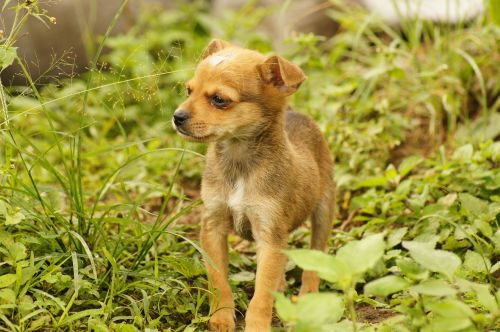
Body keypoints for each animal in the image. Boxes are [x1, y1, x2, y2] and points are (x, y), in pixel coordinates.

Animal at [173, 39, 336, 332]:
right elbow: (219, 282)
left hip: (324, 209)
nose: (177, 116)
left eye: (219, 100)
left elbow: (261, 295)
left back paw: (308, 296)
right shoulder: (213, 227)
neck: (239, 160)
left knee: (315, 256)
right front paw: (221, 317)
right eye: (189, 90)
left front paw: (257, 325)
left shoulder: (269, 235)